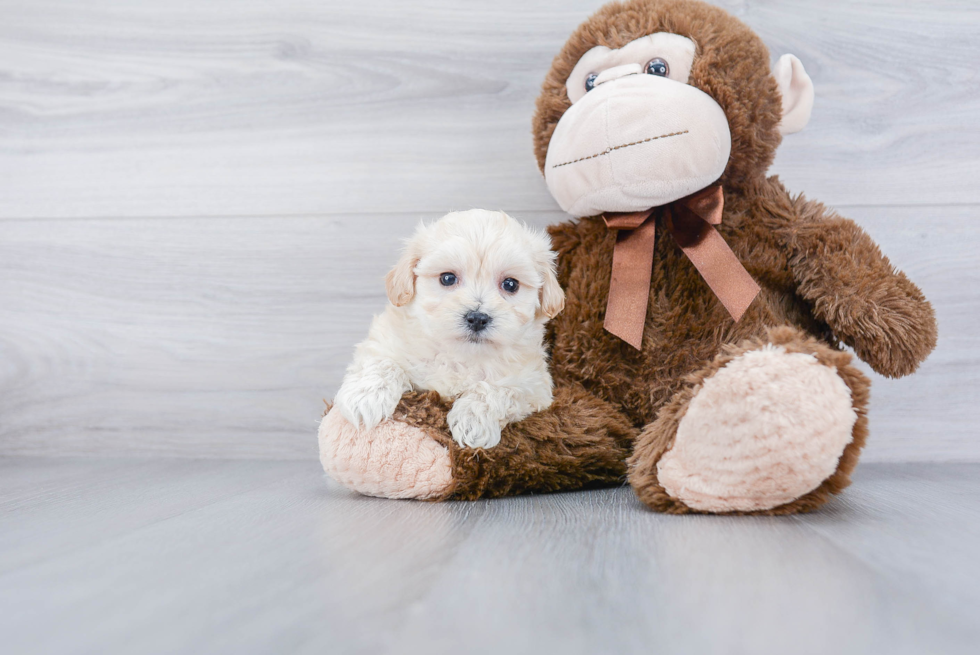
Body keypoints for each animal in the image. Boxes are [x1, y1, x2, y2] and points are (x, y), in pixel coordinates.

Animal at [334, 210, 568, 452]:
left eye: (510, 284)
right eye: (447, 278)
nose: (477, 318)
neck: (460, 354)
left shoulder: (535, 387)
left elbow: (499, 389)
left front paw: (473, 420)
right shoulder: (384, 340)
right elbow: (383, 362)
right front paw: (364, 398)